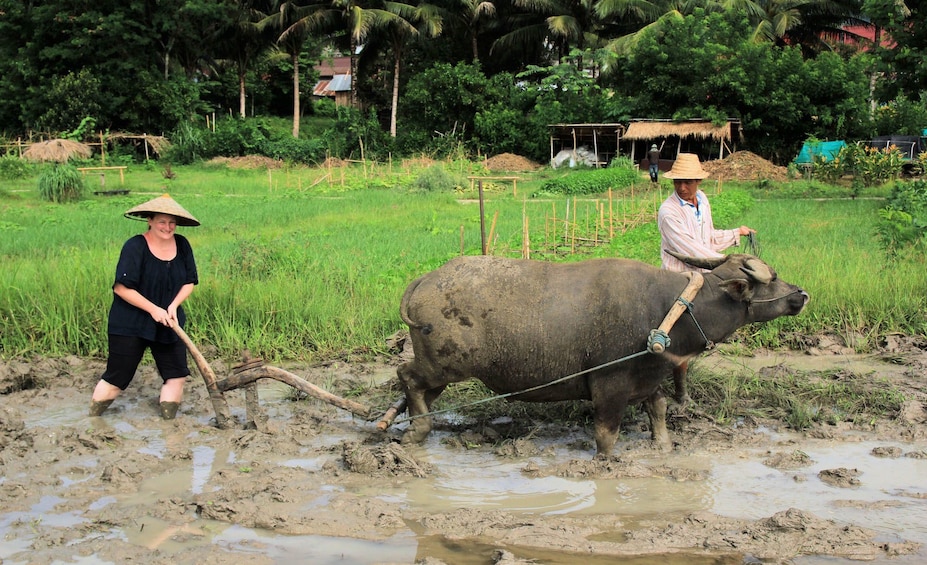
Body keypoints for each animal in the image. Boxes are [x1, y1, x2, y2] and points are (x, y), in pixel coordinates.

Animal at [396, 253, 808, 456]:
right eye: (772, 278)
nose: (801, 295)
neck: (669, 309)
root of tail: (426, 280)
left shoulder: (649, 378)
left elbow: (659, 411)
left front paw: (664, 446)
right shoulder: (611, 386)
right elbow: (606, 436)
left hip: (443, 369)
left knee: (418, 389)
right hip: (444, 365)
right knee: (407, 377)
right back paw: (417, 430)